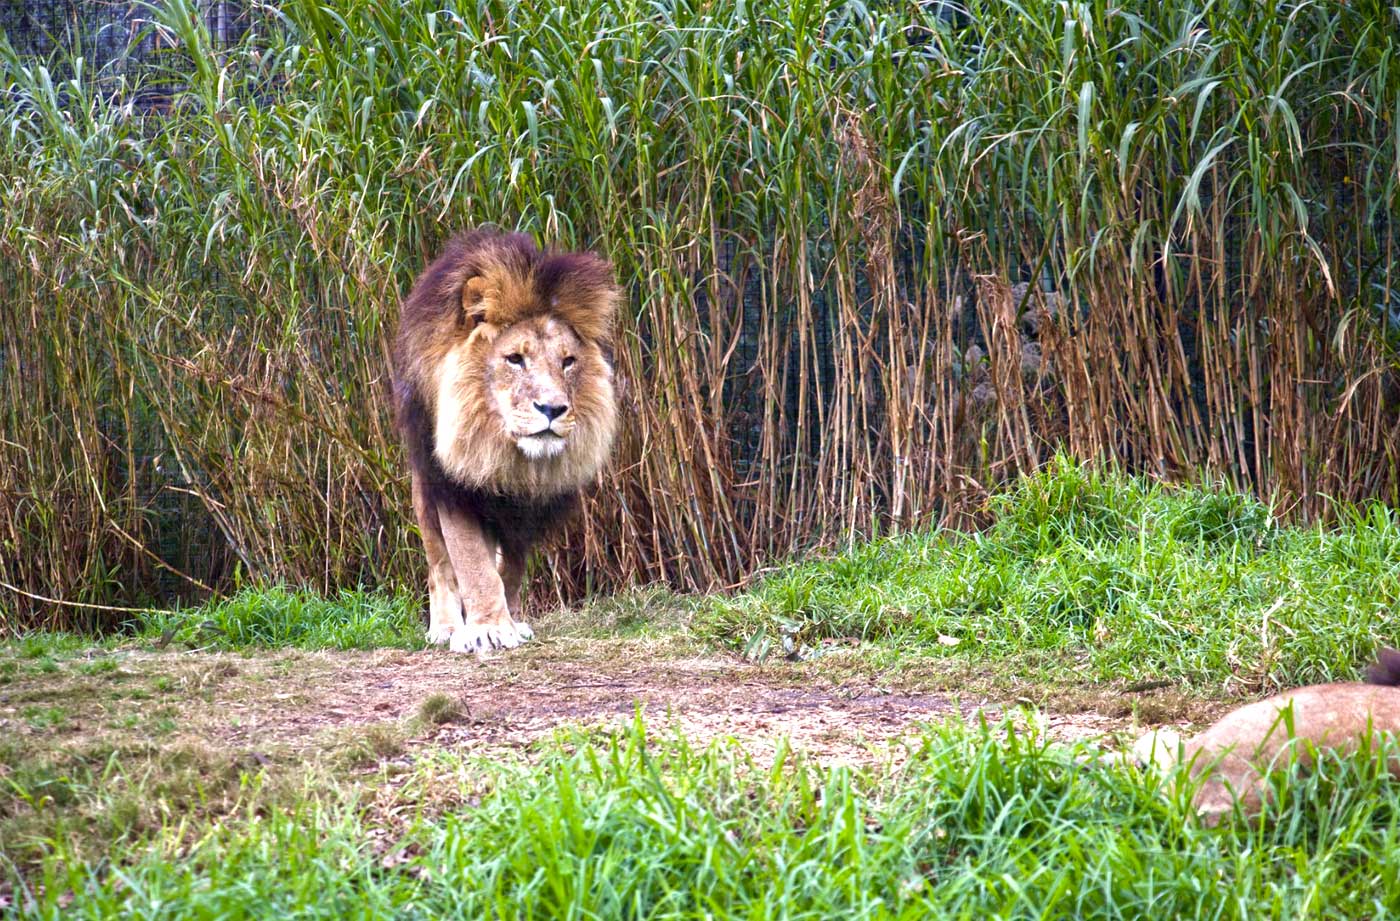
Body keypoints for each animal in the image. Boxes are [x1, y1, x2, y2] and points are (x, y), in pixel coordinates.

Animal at [389, 225, 618, 649]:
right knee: (439, 565)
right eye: (515, 359)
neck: (502, 451)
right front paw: (487, 630)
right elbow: (472, 564)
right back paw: (446, 627)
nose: (553, 409)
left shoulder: (524, 506)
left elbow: (509, 569)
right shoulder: (454, 486)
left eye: (568, 362)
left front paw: (508, 620)